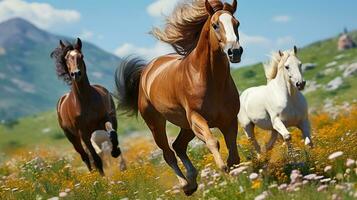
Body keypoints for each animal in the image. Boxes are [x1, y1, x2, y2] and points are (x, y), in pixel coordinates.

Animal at [50, 38, 122, 175]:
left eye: (81, 56)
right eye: (66, 58)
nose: (76, 74)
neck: (84, 100)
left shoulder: (105, 119)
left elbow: (113, 134)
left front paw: (115, 152)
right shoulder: (83, 133)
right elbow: (96, 159)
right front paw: (101, 179)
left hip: (110, 121)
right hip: (73, 138)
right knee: (85, 156)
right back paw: (92, 174)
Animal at [115, 0, 243, 195]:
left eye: (237, 24)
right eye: (215, 25)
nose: (234, 52)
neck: (209, 79)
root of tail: (146, 70)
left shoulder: (229, 120)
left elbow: (234, 156)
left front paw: (234, 177)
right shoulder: (197, 119)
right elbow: (213, 142)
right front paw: (226, 175)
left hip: (185, 126)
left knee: (178, 146)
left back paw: (192, 181)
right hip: (156, 124)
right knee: (168, 153)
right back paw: (185, 184)